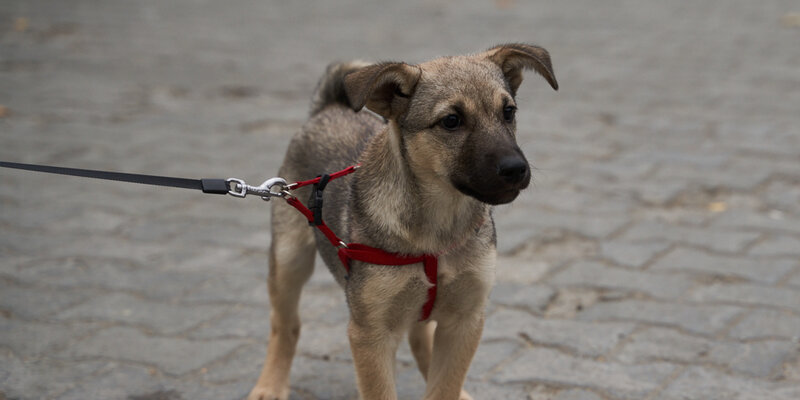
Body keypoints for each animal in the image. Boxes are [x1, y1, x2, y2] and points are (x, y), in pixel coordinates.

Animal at [248, 43, 556, 400]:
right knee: (285, 325)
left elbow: (444, 386)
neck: (437, 227)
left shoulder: (465, 320)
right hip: (289, 259)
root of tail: (329, 107)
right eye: (451, 121)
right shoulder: (371, 333)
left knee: (420, 341)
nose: (515, 169)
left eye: (508, 112)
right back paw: (270, 386)